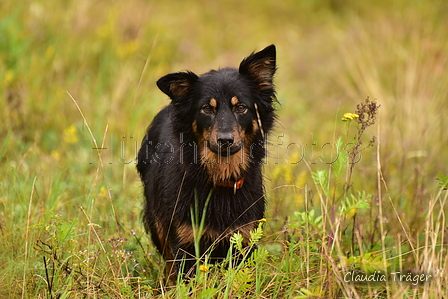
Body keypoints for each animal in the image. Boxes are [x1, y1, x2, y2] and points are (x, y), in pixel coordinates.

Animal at [136, 45, 276, 282]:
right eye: (207, 109)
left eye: (241, 107)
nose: (225, 140)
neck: (219, 178)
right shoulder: (186, 241)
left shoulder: (243, 239)